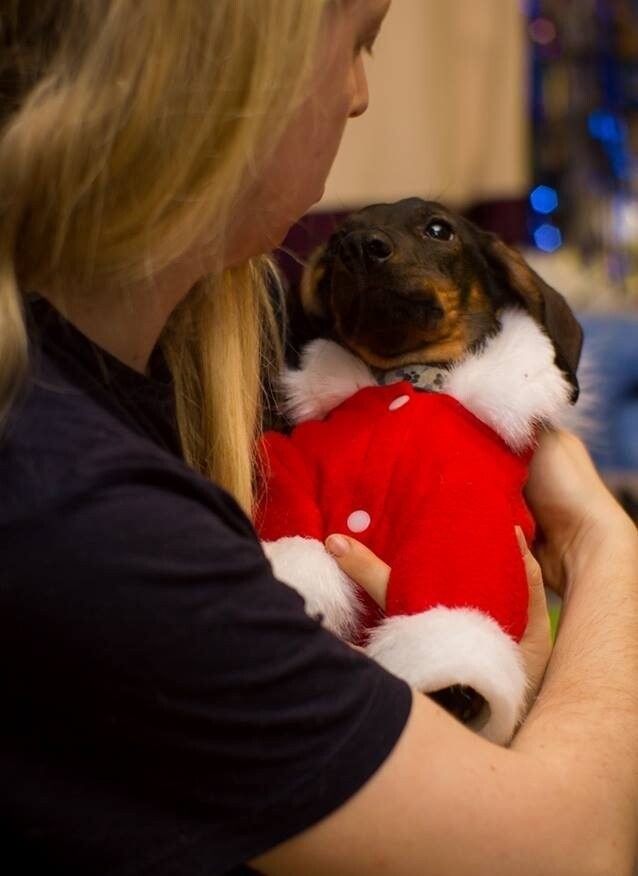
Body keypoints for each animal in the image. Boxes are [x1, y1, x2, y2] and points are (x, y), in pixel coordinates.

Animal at [258, 200, 584, 744]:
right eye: (337, 240)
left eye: (439, 229)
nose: (357, 246)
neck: (407, 379)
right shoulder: (289, 463)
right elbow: (289, 521)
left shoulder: (469, 509)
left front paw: (456, 692)